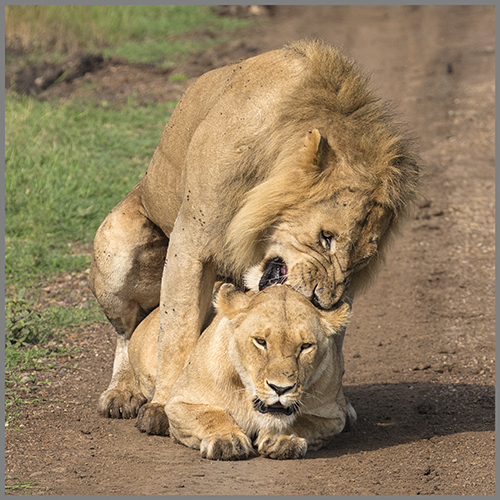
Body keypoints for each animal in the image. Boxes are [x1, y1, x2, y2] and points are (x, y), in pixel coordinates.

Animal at [89, 40, 419, 433]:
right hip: (116, 251)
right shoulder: (191, 242)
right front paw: (163, 406)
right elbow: (176, 331)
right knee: (128, 331)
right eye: (326, 237)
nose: (323, 300)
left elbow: (333, 341)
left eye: (360, 260)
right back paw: (122, 392)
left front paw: (331, 403)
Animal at [128, 284, 356, 460]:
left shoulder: (334, 416)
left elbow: (304, 421)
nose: (280, 389)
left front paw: (281, 438)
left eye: (306, 346)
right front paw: (227, 439)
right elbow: (210, 414)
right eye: (261, 342)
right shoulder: (178, 403)